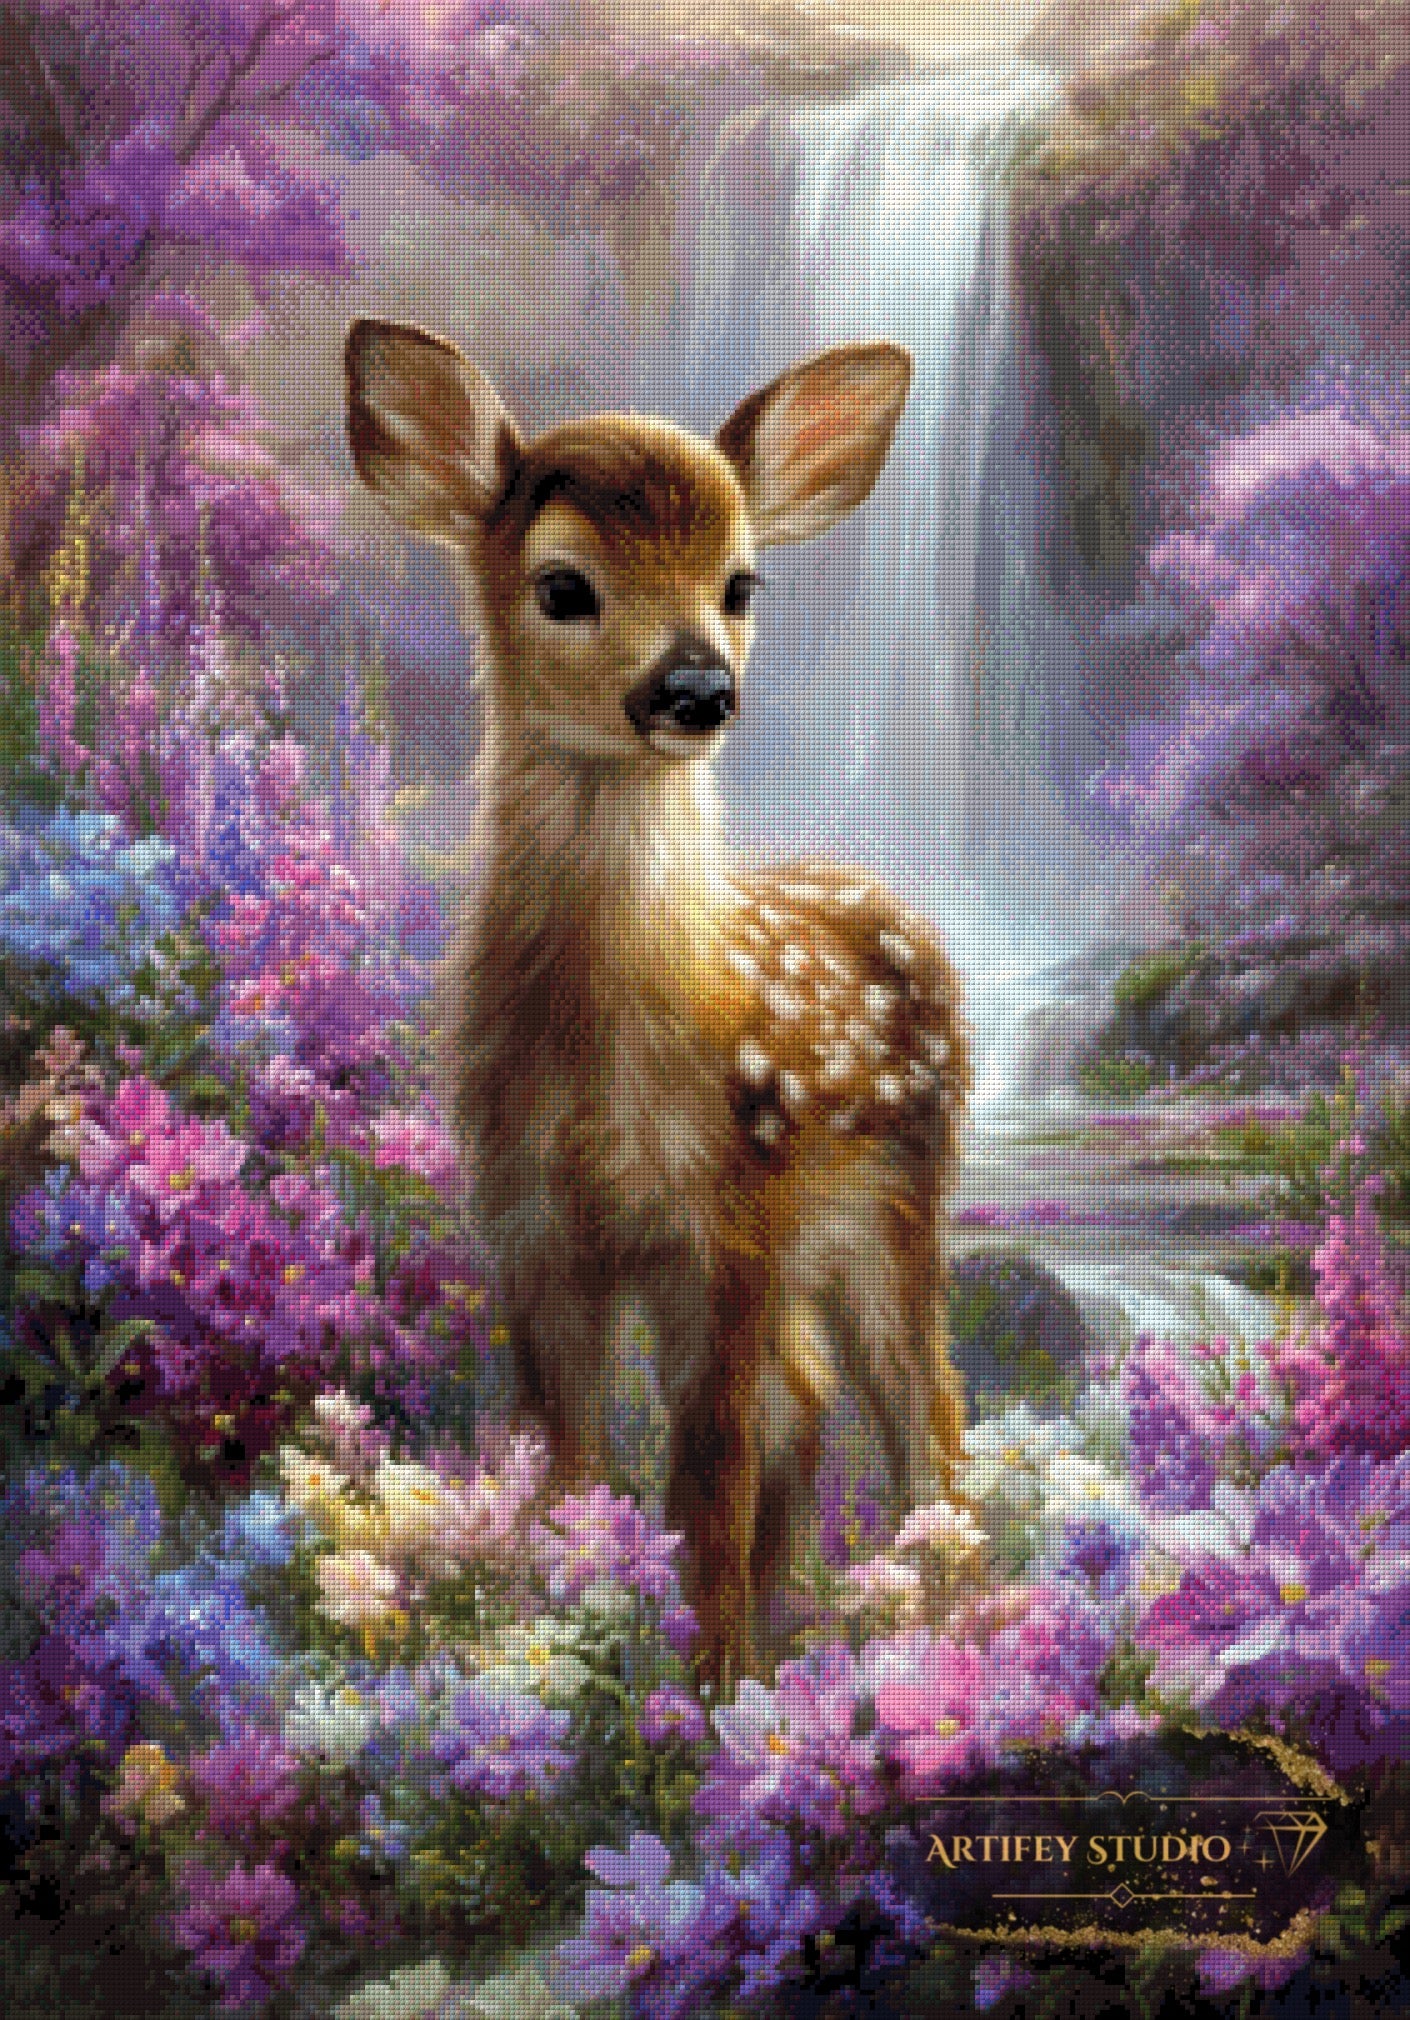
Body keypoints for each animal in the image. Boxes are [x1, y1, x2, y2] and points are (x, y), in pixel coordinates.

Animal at [344, 319, 971, 1685]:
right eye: (563, 586)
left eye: (741, 584)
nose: (697, 689)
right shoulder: (530, 1222)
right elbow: (567, 1456)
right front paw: (558, 1638)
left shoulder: (723, 1221)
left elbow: (707, 1475)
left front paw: (706, 1690)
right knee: (813, 1392)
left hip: (894, 1199)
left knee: (923, 1409)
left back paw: (966, 1624)